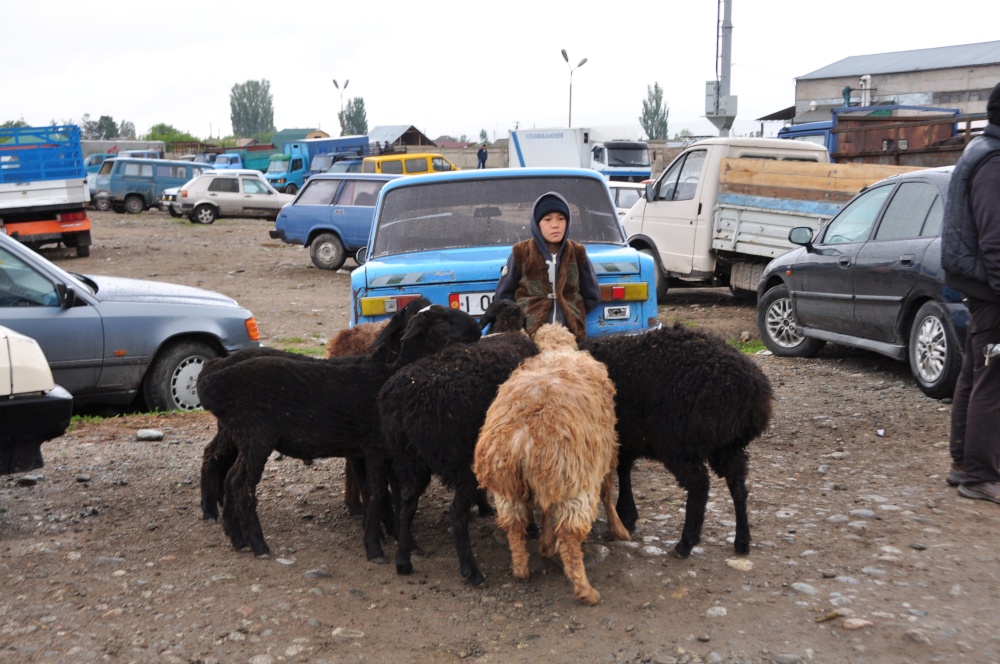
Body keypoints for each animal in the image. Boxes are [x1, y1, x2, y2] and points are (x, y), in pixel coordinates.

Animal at [196, 300, 484, 560]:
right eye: (442, 320)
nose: (477, 329)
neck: (391, 371)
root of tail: (211, 376)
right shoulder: (375, 447)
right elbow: (378, 493)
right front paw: (376, 547)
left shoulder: (372, 450)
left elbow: (385, 492)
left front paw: (396, 538)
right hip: (256, 438)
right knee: (240, 483)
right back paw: (257, 544)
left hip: (239, 436)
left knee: (225, 471)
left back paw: (237, 538)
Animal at [378, 298, 540, 584]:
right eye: (442, 320)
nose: (475, 329)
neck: (509, 330)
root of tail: (403, 401)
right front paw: (531, 527)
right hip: (459, 458)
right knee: (456, 511)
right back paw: (471, 571)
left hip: (409, 459)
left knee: (408, 502)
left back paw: (404, 560)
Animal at [472, 322, 628, 608]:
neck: (555, 350)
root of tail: (522, 436)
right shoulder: (605, 452)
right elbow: (607, 491)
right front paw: (619, 529)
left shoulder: (547, 480)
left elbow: (544, 508)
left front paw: (545, 543)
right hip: (573, 483)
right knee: (569, 536)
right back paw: (585, 590)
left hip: (508, 485)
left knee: (514, 525)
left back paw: (521, 569)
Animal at [580, 324, 772, 556]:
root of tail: (750, 390)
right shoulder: (627, 439)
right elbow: (624, 470)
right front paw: (626, 516)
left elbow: (622, 471)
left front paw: (624, 516)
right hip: (727, 446)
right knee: (738, 486)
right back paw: (742, 541)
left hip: (677, 443)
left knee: (699, 484)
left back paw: (686, 543)